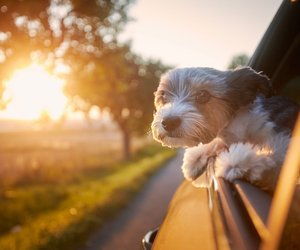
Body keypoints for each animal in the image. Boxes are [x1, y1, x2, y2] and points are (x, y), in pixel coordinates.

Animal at [152, 66, 300, 191]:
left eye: (202, 95)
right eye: (163, 95)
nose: (168, 122)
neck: (240, 123)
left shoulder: (283, 136)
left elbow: (278, 156)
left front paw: (238, 160)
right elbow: (216, 142)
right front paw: (195, 156)